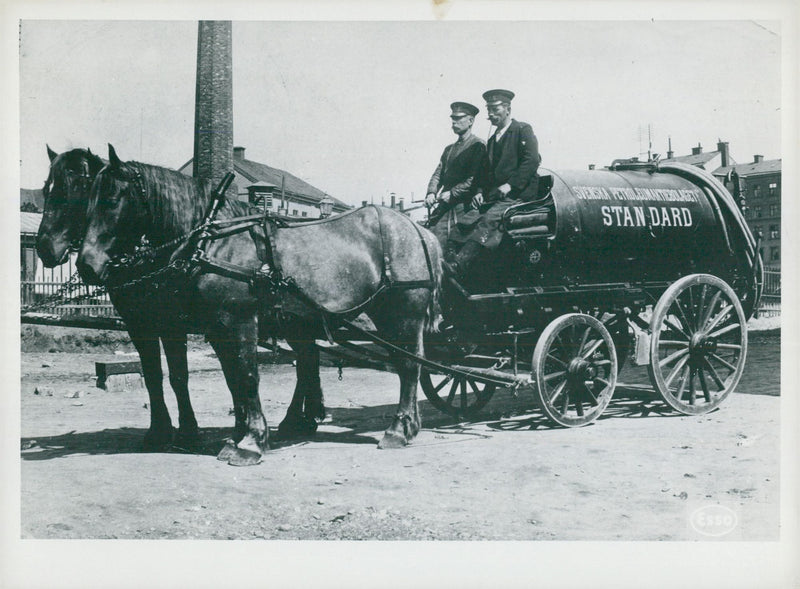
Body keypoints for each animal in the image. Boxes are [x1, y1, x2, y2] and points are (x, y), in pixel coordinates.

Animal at [36, 146, 200, 446]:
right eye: (46, 189)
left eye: (76, 187)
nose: (45, 249)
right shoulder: (138, 324)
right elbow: (152, 374)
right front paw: (158, 431)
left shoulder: (172, 323)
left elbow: (179, 375)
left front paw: (188, 432)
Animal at [77, 146, 440, 464]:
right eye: (87, 200)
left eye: (111, 200)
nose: (86, 265)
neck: (212, 241)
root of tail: (418, 230)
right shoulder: (217, 327)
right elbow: (233, 379)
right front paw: (239, 436)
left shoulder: (238, 320)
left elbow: (248, 376)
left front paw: (250, 442)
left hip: (401, 314)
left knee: (409, 365)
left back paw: (398, 430)